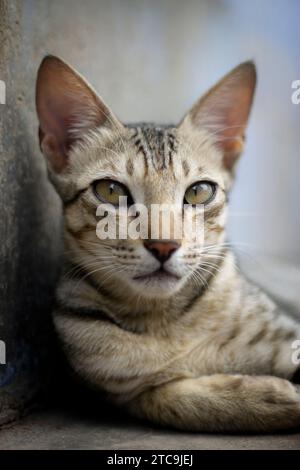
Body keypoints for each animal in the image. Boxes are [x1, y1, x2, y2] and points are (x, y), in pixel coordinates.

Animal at [35, 56, 300, 434]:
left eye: (199, 191)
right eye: (110, 191)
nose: (163, 245)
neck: (163, 320)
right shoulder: (122, 389)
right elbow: (175, 400)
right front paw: (268, 397)